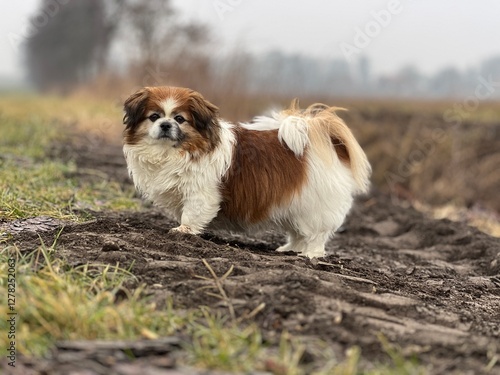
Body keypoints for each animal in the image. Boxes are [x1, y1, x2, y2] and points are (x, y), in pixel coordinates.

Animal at [122, 88, 372, 258]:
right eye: (154, 117)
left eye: (179, 119)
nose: (165, 125)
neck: (175, 152)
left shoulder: (201, 194)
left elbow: (191, 214)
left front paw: (183, 232)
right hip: (295, 205)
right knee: (298, 233)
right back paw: (289, 249)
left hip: (314, 208)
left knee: (316, 235)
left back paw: (309, 254)